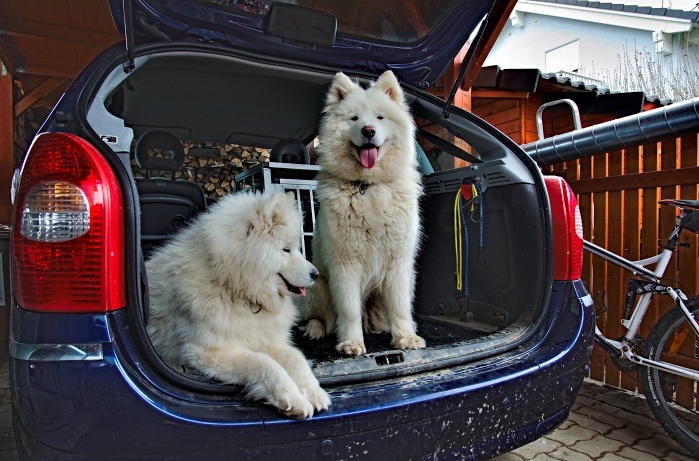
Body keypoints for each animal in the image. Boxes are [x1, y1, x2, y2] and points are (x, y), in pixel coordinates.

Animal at [146, 189, 330, 418]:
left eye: (296, 247)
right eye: (286, 249)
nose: (316, 274)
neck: (234, 287)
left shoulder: (265, 338)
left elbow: (296, 358)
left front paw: (314, 392)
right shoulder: (206, 352)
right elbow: (265, 363)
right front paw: (293, 398)